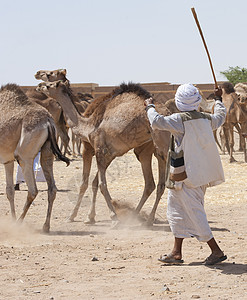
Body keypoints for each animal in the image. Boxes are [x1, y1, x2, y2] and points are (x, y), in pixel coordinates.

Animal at [0, 84, 69, 232]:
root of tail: (48, 121)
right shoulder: (7, 160)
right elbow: (9, 191)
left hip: (24, 156)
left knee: (33, 190)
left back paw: (19, 223)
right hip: (47, 152)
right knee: (52, 189)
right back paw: (45, 226)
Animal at [37, 79, 172, 225]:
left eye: (49, 84)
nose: (39, 86)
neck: (89, 125)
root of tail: (168, 113)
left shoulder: (100, 150)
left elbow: (98, 184)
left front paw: (112, 217)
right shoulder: (108, 154)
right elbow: (95, 183)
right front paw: (90, 217)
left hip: (163, 144)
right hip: (149, 149)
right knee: (153, 184)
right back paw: (141, 218)